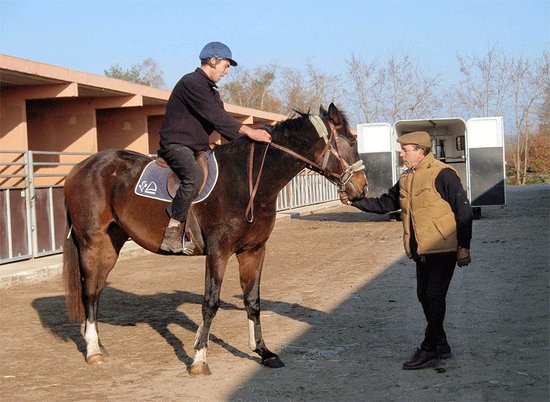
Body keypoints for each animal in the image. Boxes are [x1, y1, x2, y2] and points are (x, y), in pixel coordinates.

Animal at [62, 103, 368, 374]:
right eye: (351, 141)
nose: (362, 187)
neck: (246, 183)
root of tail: (80, 167)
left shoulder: (254, 250)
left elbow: (253, 301)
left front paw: (263, 351)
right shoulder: (217, 252)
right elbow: (210, 303)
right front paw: (199, 357)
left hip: (111, 243)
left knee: (96, 290)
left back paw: (97, 342)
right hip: (91, 242)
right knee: (89, 291)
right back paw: (92, 351)